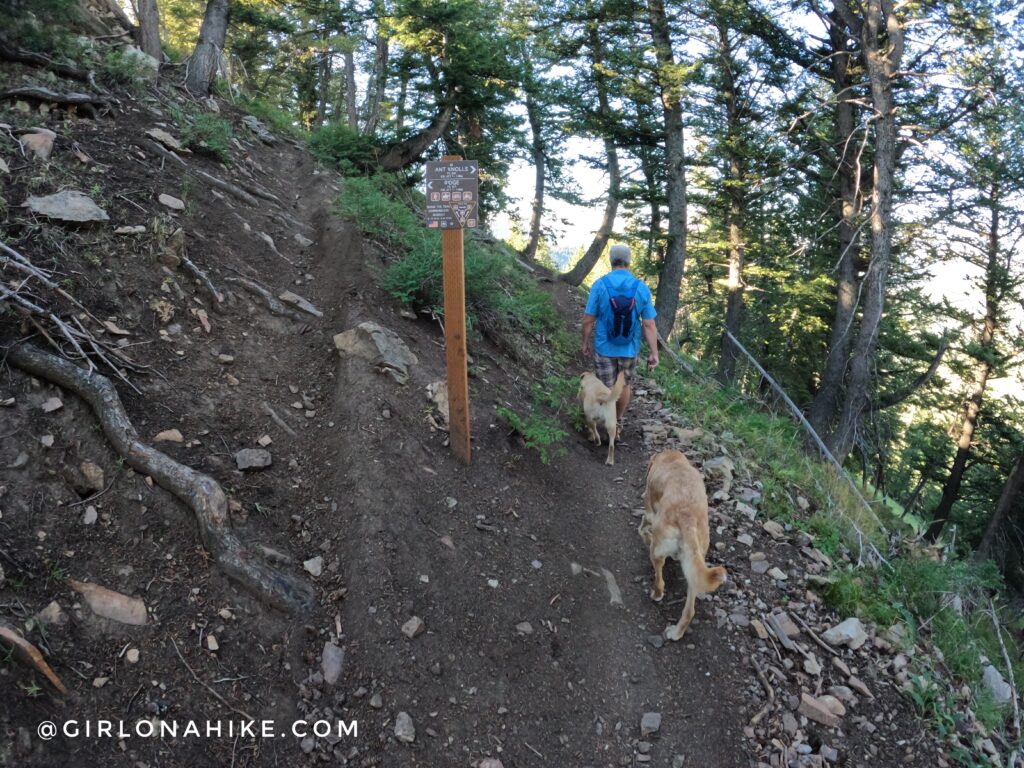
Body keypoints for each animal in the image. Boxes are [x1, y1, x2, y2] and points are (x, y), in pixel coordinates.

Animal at [638, 450, 729, 643]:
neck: (673, 460)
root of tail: (688, 517)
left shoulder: (649, 509)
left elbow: (643, 523)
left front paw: (644, 535)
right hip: (694, 567)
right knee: (689, 611)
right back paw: (677, 633)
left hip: (657, 551)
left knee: (660, 581)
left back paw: (656, 595)